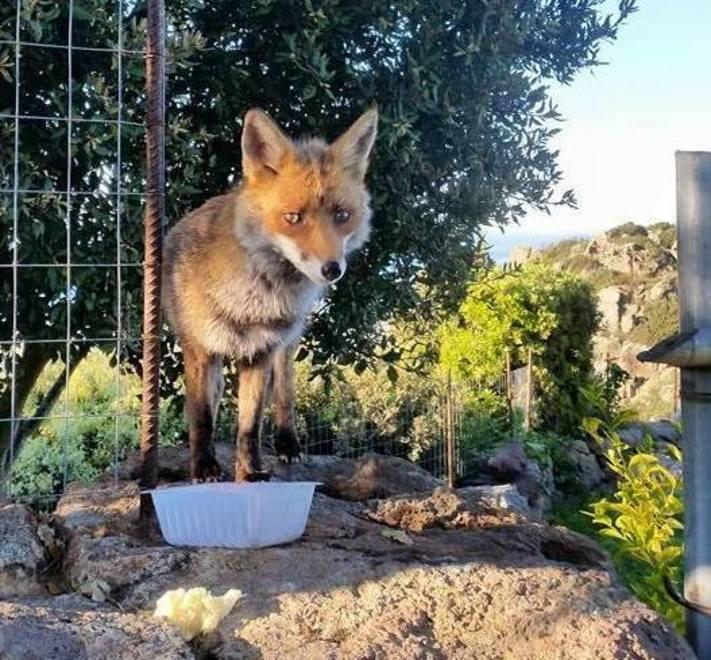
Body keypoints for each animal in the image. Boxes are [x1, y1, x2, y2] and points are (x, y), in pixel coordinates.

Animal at [162, 107, 378, 482]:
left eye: (342, 215)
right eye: (293, 217)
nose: (332, 269)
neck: (252, 301)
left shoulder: (260, 352)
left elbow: (250, 426)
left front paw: (250, 473)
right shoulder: (200, 350)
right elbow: (201, 418)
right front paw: (204, 466)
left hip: (285, 347)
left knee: (284, 392)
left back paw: (287, 442)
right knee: (214, 400)